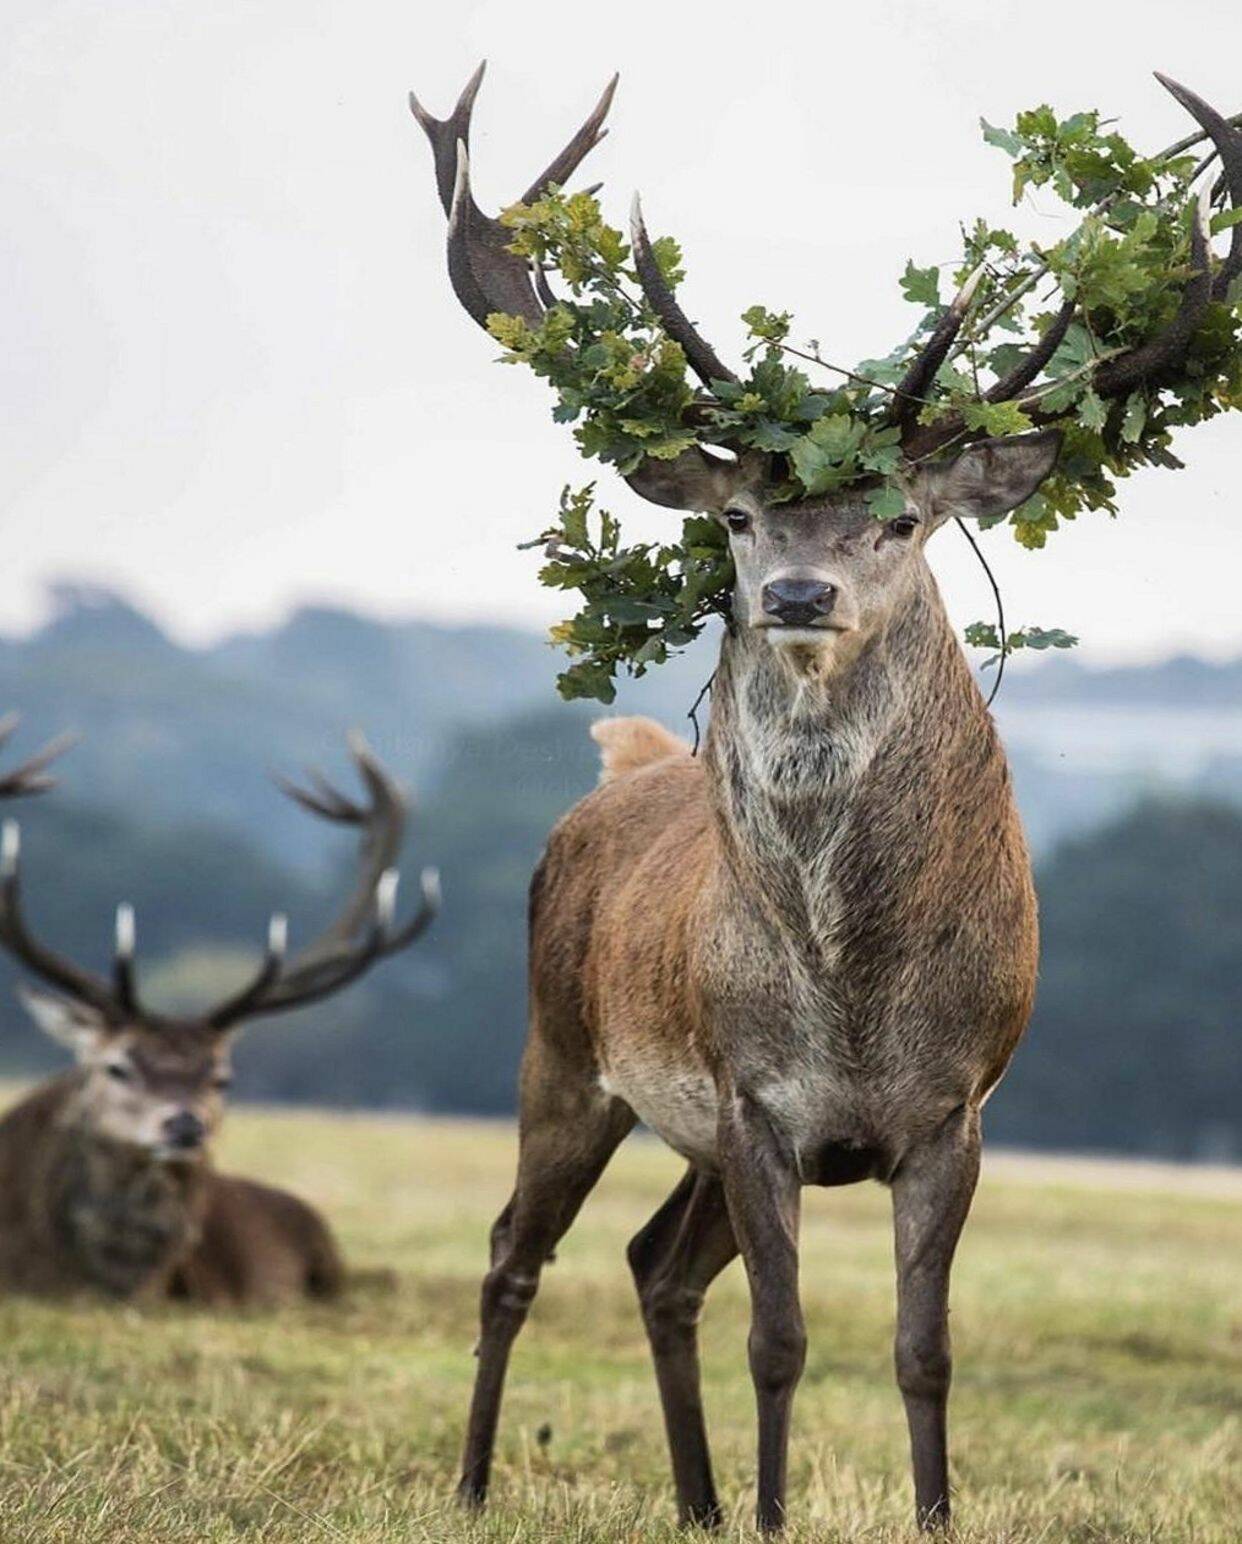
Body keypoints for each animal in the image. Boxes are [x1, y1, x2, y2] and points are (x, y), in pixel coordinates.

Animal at [410, 63, 1242, 1531]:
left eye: (901, 516)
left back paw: (689, 1502)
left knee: (653, 1264)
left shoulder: (955, 1108)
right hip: (562, 1047)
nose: (798, 593)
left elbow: (923, 1348)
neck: (849, 985)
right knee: (516, 1247)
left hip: (670, 1125)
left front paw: (928, 1511)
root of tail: (624, 761)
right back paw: (470, 1481)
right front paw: (774, 1511)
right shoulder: (755, 1102)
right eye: (739, 517)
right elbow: (782, 1339)